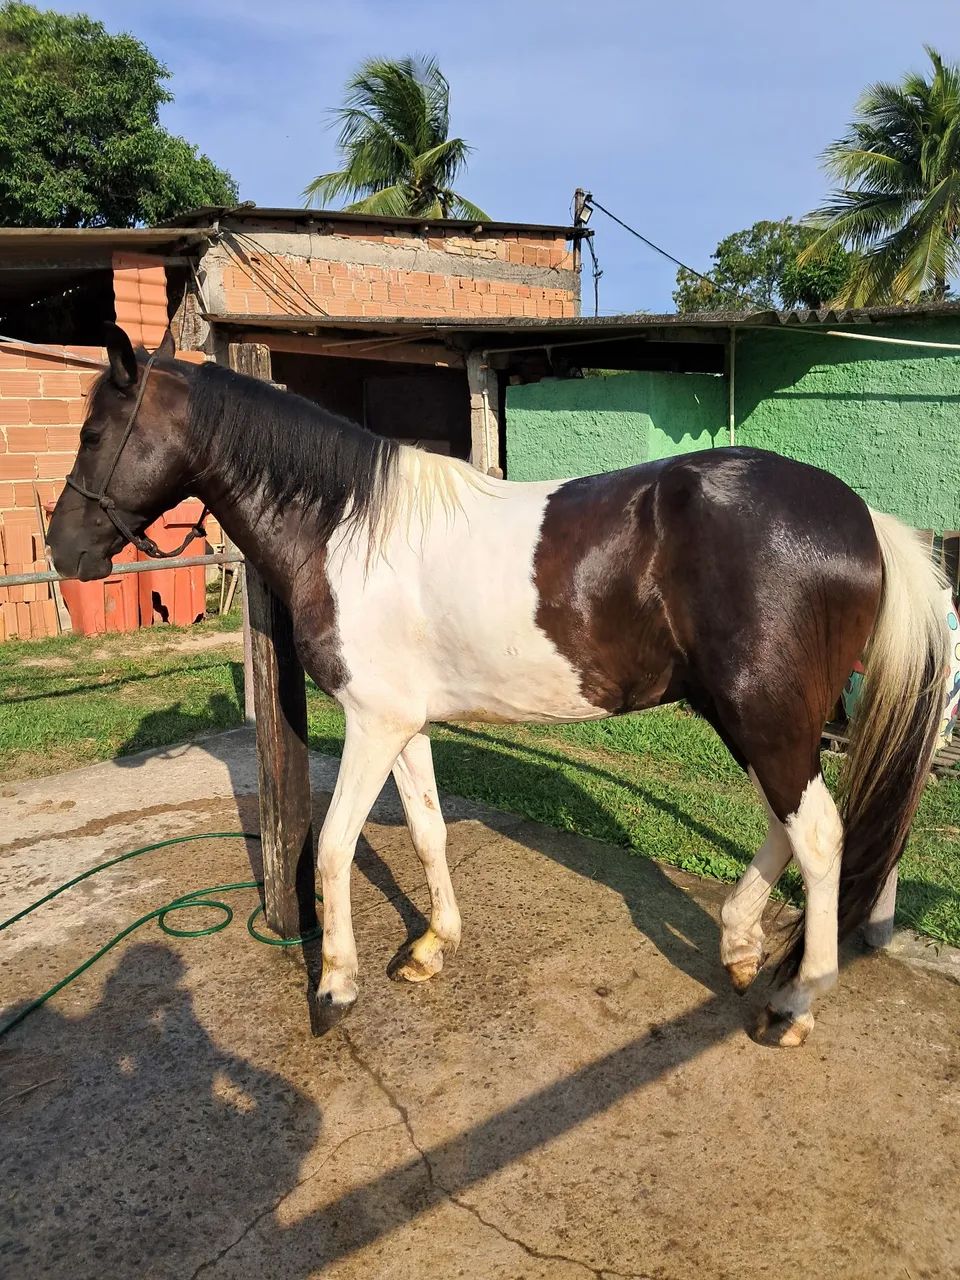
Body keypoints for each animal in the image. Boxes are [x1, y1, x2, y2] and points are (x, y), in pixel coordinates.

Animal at [46, 324, 949, 1049]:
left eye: (93, 431)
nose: (62, 549)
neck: (346, 528)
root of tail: (867, 521)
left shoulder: (371, 723)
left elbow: (332, 847)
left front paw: (335, 988)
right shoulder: (403, 725)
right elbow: (428, 832)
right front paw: (431, 946)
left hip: (767, 714)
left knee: (819, 834)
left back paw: (795, 1003)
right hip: (752, 716)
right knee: (784, 822)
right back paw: (737, 944)